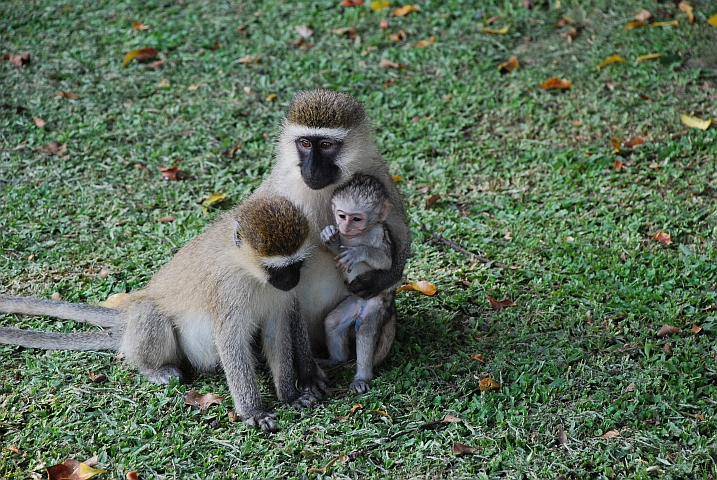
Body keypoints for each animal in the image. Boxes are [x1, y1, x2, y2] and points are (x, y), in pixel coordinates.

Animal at [0, 196, 329, 432]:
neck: (250, 273)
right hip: (145, 322)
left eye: (296, 264)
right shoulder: (227, 291)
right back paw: (151, 368)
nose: (293, 281)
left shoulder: (279, 300)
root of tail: (126, 322)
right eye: (277, 269)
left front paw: (289, 394)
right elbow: (231, 342)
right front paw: (254, 412)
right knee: (151, 314)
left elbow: (277, 333)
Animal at [251, 90, 411, 366]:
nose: (312, 169)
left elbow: (399, 229)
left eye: (326, 145)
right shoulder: (281, 193)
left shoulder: (375, 170)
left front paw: (384, 279)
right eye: (305, 144)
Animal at [317, 173, 398, 393]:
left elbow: (386, 261)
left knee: (365, 334)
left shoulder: (379, 233)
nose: (345, 227)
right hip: (352, 301)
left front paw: (359, 252)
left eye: (356, 218)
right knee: (331, 323)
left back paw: (362, 377)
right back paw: (335, 360)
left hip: (375, 305)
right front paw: (330, 237)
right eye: (342, 216)